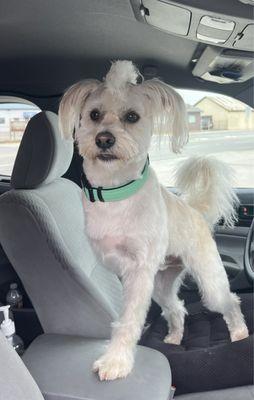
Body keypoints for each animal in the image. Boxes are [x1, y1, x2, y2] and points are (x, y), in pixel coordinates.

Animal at [59, 60, 248, 382]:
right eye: (94, 114)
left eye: (132, 117)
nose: (104, 138)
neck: (116, 192)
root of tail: (195, 212)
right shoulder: (121, 269)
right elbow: (127, 316)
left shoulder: (138, 271)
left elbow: (128, 320)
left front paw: (116, 361)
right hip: (161, 284)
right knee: (178, 308)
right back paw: (173, 338)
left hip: (208, 281)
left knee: (229, 301)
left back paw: (239, 333)